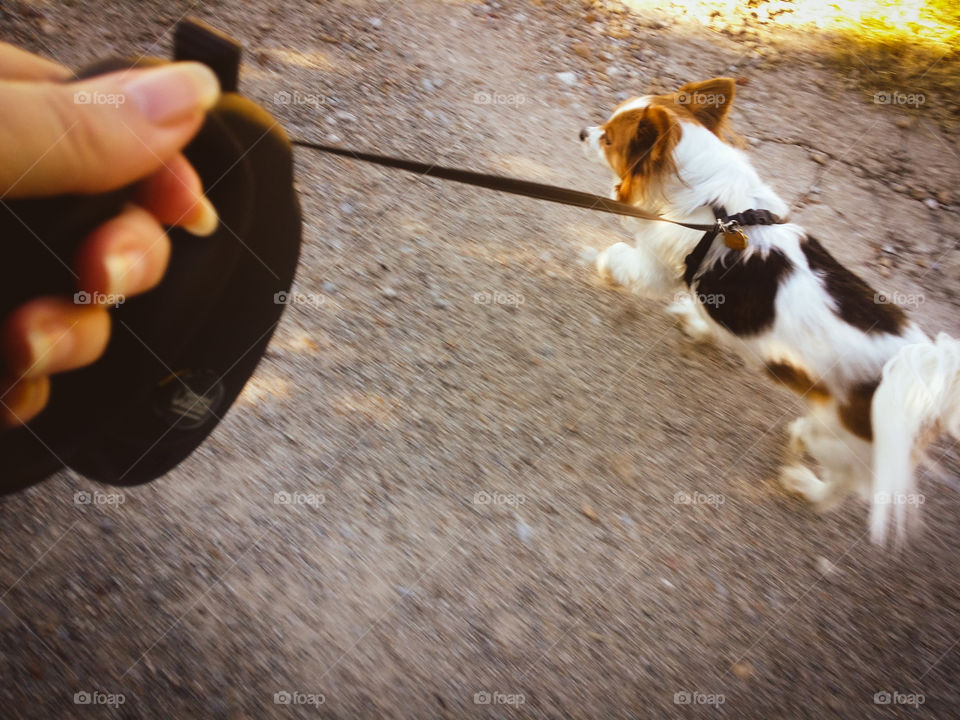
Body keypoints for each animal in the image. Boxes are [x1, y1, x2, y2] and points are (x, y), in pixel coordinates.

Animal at [576, 76, 960, 544]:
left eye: (609, 138)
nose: (582, 132)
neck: (715, 207)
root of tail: (927, 379)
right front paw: (697, 324)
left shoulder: (654, 265)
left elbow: (621, 258)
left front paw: (599, 262)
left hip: (838, 438)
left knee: (844, 485)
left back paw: (807, 483)